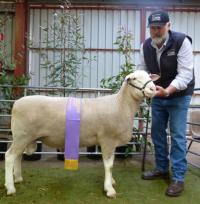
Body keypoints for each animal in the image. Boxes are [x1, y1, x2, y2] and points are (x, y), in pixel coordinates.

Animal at [5, 70, 158, 198]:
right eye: (134, 78)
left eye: (150, 77)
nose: (153, 89)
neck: (119, 105)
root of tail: (16, 103)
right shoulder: (107, 140)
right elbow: (108, 165)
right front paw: (109, 189)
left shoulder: (112, 143)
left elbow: (111, 163)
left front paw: (111, 181)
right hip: (22, 135)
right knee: (9, 156)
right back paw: (10, 188)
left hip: (23, 137)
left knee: (18, 156)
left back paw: (18, 178)